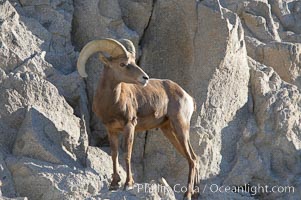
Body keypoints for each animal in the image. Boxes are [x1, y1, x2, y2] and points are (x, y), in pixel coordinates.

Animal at [77, 38, 199, 199]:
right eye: (122, 64)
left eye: (134, 62)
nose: (145, 78)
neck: (111, 103)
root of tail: (188, 97)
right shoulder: (111, 130)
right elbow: (114, 155)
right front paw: (114, 184)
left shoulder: (130, 126)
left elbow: (127, 154)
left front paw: (128, 183)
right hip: (168, 130)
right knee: (194, 158)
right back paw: (196, 193)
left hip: (181, 127)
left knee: (191, 159)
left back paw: (187, 194)